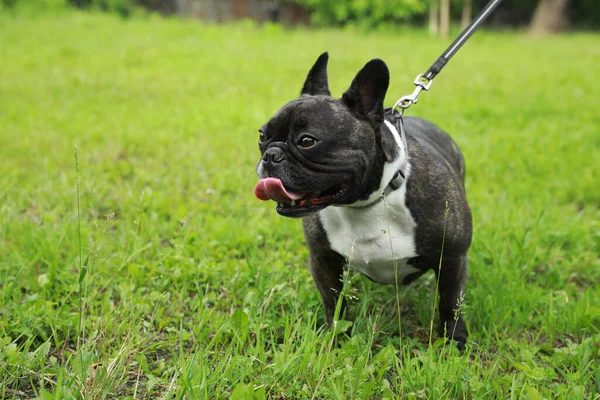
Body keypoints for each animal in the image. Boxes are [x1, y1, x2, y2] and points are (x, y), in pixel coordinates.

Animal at [253, 52, 474, 346]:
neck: (364, 204)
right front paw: (336, 337)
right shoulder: (323, 260)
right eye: (262, 136)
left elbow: (451, 304)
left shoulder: (452, 258)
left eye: (307, 141)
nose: (270, 155)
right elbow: (334, 302)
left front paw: (454, 342)